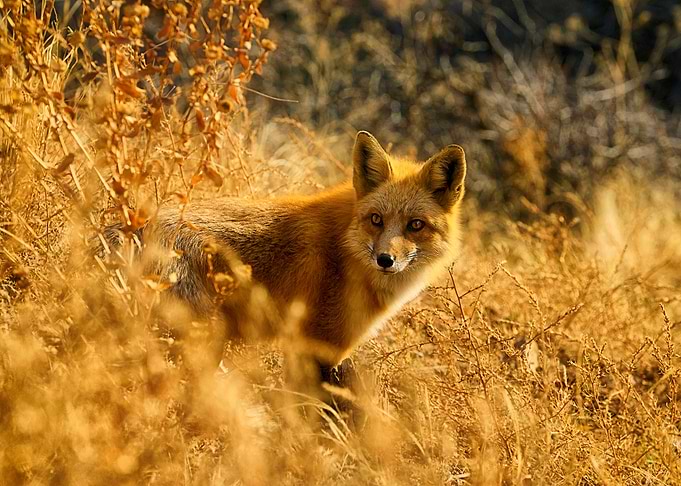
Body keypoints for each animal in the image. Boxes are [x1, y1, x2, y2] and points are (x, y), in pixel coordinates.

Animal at [105, 131, 466, 389]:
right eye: (376, 219)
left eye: (415, 225)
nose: (385, 259)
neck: (346, 249)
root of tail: (129, 227)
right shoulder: (316, 348)